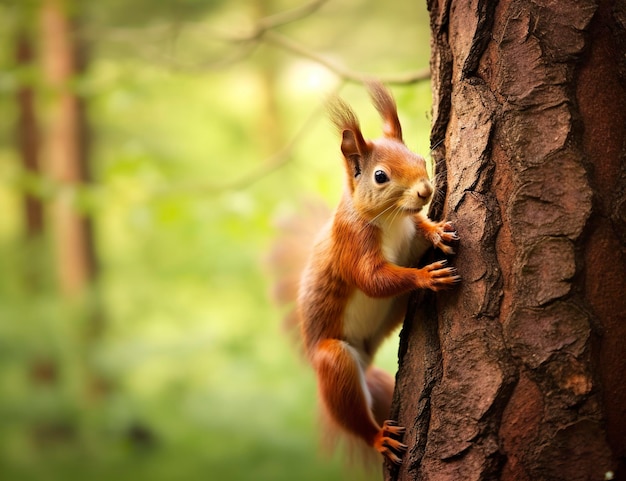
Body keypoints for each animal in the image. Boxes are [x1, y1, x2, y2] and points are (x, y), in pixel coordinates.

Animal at [294, 80, 456, 464]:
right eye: (380, 176)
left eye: (419, 159)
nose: (425, 190)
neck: (392, 220)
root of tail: (365, 367)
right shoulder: (353, 243)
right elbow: (372, 279)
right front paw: (426, 277)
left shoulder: (409, 233)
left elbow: (421, 229)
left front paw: (437, 232)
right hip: (335, 362)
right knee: (350, 411)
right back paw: (378, 436)